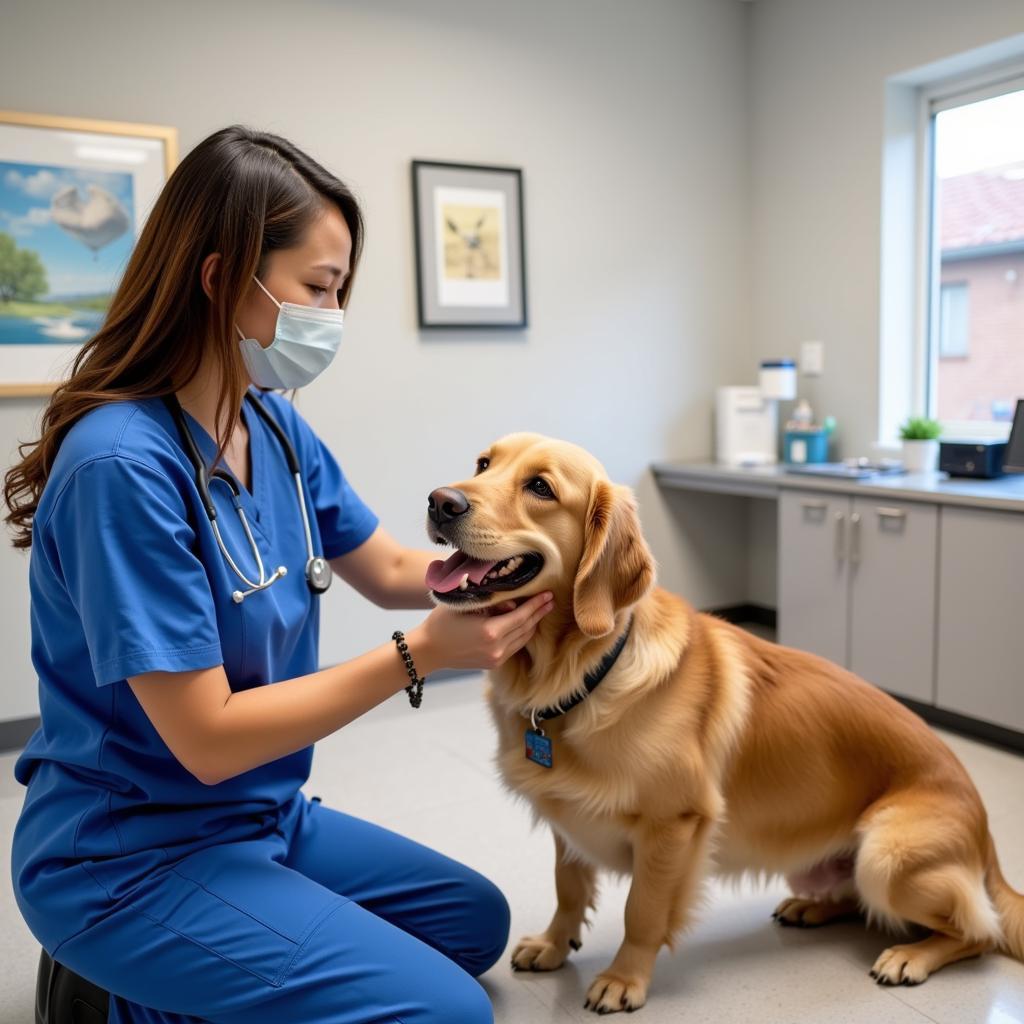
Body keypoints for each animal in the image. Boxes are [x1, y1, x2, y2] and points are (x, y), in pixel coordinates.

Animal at [419, 428, 1019, 1011]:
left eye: (540, 487)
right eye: (483, 464)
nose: (439, 501)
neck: (580, 673)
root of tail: (987, 838)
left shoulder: (673, 825)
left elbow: (642, 911)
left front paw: (624, 978)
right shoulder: (568, 815)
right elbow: (569, 889)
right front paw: (553, 943)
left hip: (885, 854)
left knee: (977, 932)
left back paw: (909, 956)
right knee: (860, 902)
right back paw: (811, 907)